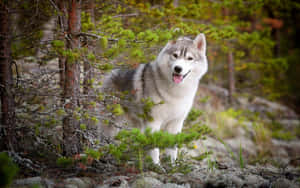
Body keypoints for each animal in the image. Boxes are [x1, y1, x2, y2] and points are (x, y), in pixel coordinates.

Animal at [102, 33, 207, 164]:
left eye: (190, 58)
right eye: (175, 55)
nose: (178, 68)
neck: (176, 92)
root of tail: (112, 71)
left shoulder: (175, 124)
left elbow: (172, 150)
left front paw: (172, 166)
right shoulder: (153, 122)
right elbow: (154, 149)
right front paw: (155, 165)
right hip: (112, 122)